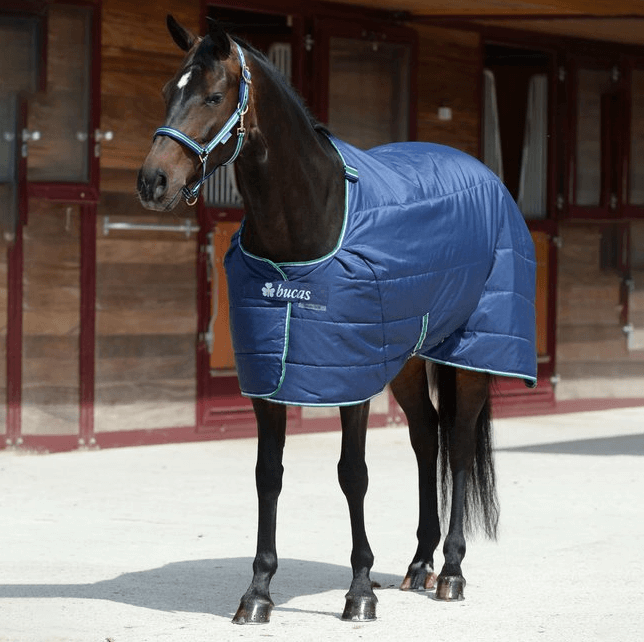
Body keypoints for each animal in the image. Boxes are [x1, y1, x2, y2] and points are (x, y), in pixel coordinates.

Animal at [137, 15, 537, 624]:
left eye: (212, 96)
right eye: (165, 92)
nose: (153, 181)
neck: (308, 223)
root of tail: (484, 175)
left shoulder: (350, 378)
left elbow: (353, 476)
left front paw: (361, 591)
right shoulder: (272, 377)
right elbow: (268, 475)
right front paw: (258, 592)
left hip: (471, 351)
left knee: (460, 443)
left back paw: (450, 571)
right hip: (406, 357)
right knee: (427, 438)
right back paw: (419, 564)